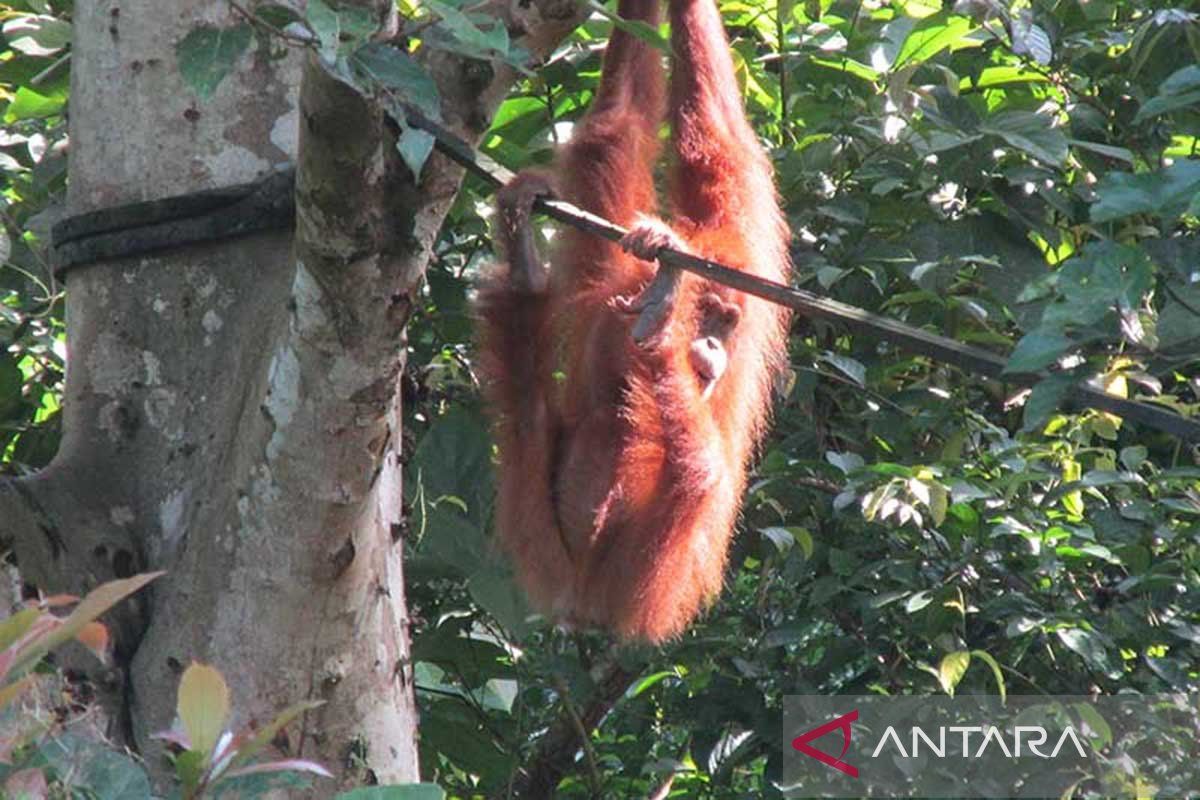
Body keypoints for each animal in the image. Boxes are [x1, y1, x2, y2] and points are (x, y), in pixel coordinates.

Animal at [474, 0, 790, 642]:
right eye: (710, 319)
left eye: (728, 322)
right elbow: (619, 129)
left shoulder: (741, 244)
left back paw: (655, 328)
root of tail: (582, 602)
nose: (715, 348)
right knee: (526, 413)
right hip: (536, 532)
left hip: (649, 579)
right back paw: (528, 273)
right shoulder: (623, 258)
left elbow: (717, 142)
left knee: (703, 472)